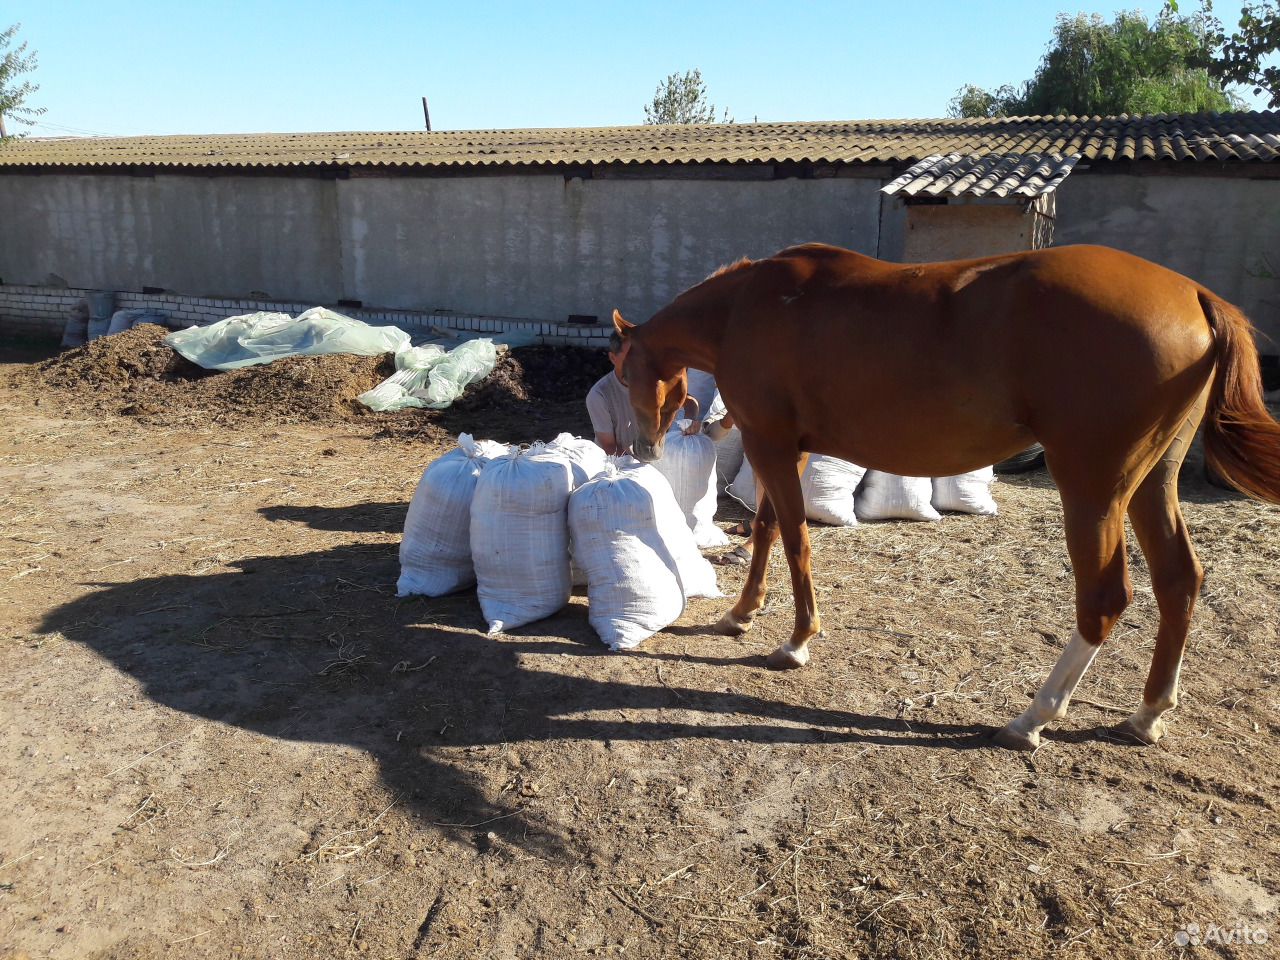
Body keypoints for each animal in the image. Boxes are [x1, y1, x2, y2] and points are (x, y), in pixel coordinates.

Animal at [611, 240, 1280, 752]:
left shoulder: (770, 444)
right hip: (1150, 484)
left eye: (619, 370)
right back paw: (1147, 714)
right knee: (1179, 580)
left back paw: (1033, 718)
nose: (643, 446)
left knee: (1105, 598)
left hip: (1093, 486)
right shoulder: (783, 448)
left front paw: (796, 642)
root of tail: (1195, 295)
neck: (748, 307)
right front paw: (742, 613)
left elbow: (796, 540)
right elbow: (769, 530)